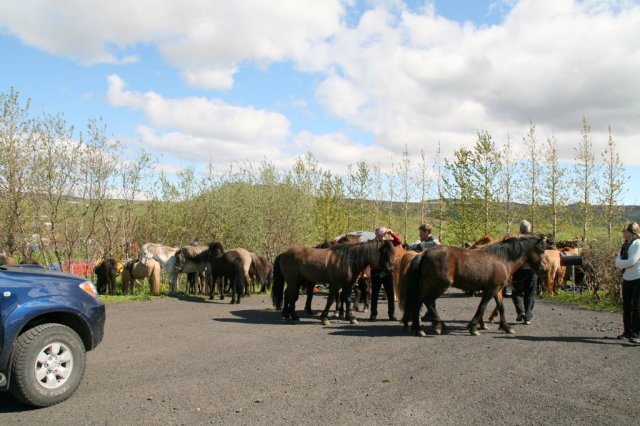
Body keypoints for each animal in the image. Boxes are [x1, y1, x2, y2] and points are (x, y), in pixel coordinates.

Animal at [400, 235, 544, 338]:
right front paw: (473, 328)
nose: (543, 270)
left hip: (428, 285)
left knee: (419, 302)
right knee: (428, 301)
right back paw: (436, 326)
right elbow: (482, 307)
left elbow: (501, 307)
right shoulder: (491, 290)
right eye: (541, 250)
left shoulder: (497, 290)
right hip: (439, 286)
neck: (502, 259)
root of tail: (423, 254)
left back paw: (419, 329)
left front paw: (506, 327)